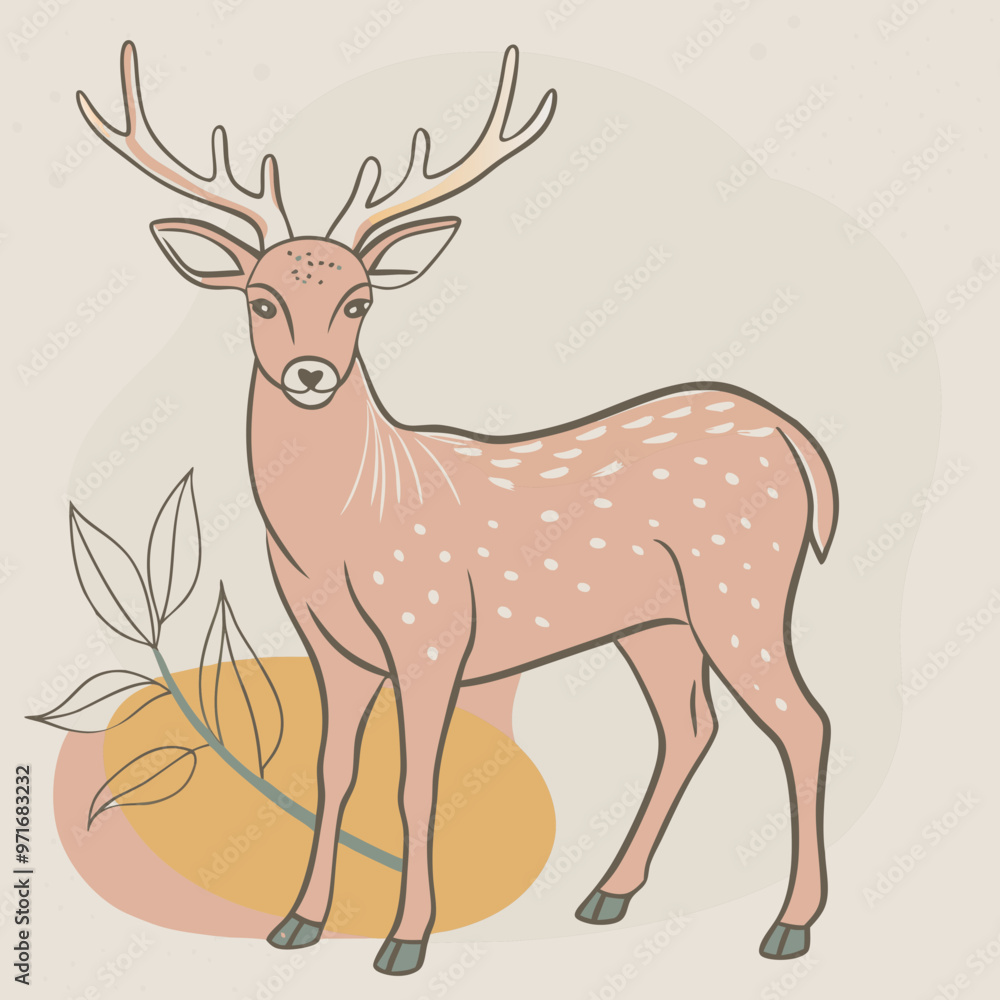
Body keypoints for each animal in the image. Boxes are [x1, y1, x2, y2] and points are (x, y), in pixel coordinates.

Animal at [79, 41, 838, 975]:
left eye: (359, 300)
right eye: (260, 298)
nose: (309, 373)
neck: (339, 532)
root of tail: (794, 437)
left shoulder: (432, 626)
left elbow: (416, 783)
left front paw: (405, 941)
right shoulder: (331, 644)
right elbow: (332, 771)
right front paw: (297, 922)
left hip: (745, 586)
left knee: (804, 721)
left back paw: (789, 925)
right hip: (656, 620)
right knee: (691, 726)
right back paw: (607, 895)